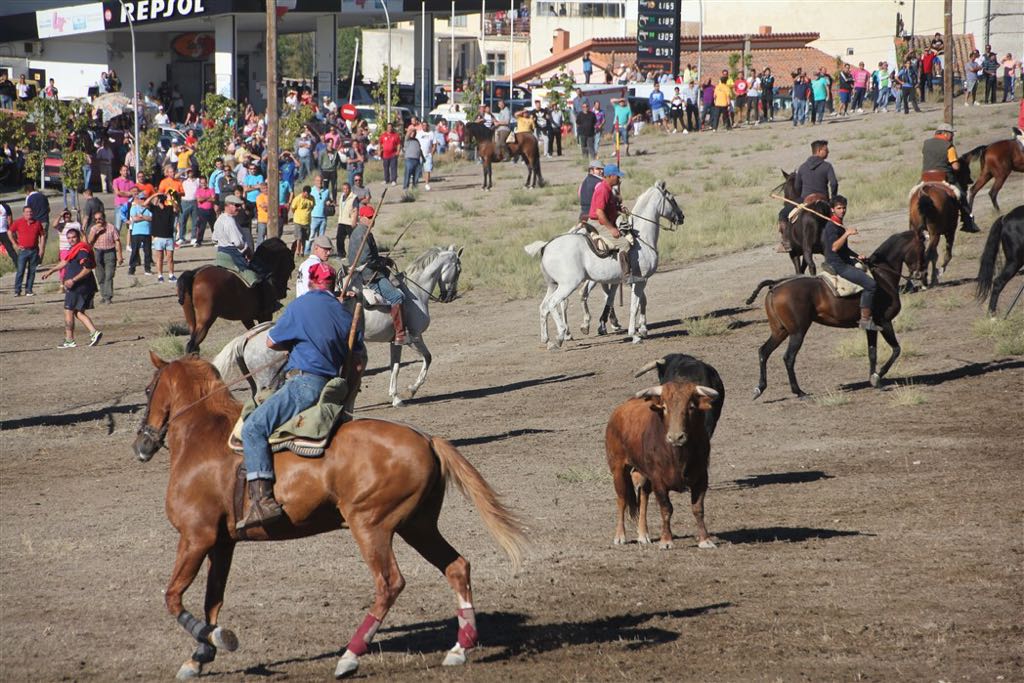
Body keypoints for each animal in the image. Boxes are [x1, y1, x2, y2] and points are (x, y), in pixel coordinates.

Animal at [134, 356, 528, 679]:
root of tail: (426, 439)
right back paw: (460, 648)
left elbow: (173, 597)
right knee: (457, 567)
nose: (140, 445)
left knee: (389, 583)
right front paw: (200, 656)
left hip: (371, 526)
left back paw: (350, 657)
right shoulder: (221, 544)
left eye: (148, 389)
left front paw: (216, 639)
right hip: (417, 526)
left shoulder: (195, 537)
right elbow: (212, 600)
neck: (204, 437)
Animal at [216, 244, 464, 405]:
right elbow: (428, 358)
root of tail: (248, 338)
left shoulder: (396, 341)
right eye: (459, 269)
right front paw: (412, 390)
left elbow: (395, 366)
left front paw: (395, 396)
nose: (450, 296)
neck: (413, 294)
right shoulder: (413, 338)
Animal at [524, 181, 684, 348]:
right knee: (554, 303)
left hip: (553, 285)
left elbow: (639, 301)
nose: (682, 216)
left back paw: (547, 339)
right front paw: (635, 334)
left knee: (544, 307)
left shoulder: (634, 281)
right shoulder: (641, 280)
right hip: (568, 285)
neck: (642, 239)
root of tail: (546, 246)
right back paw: (561, 335)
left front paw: (642, 329)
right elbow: (634, 306)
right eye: (672, 199)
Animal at [606, 378, 720, 548]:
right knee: (622, 499)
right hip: (618, 469)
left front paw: (705, 539)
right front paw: (666, 540)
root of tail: (618, 411)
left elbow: (698, 508)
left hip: (643, 474)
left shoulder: (701, 478)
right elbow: (666, 509)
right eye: (665, 407)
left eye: (691, 407)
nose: (676, 437)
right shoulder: (658, 480)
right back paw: (620, 536)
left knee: (643, 498)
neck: (678, 456)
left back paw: (643, 534)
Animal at [745, 231, 929, 401]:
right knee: (788, 358)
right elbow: (896, 350)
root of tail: (775, 286)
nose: (922, 274)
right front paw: (878, 376)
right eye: (922, 248)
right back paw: (799, 392)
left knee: (764, 352)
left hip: (780, 331)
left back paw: (759, 388)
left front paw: (874, 380)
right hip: (797, 332)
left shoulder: (871, 327)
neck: (883, 277)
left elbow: (872, 353)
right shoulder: (885, 322)